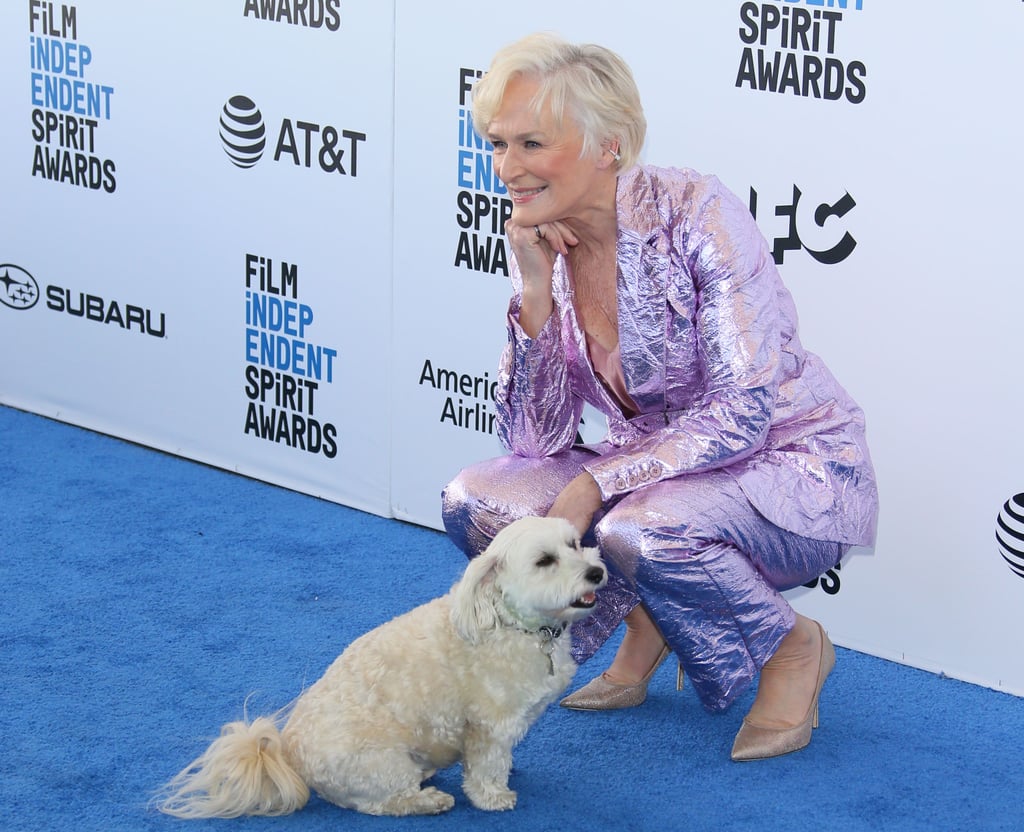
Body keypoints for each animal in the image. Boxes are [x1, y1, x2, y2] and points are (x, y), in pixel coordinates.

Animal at [157, 516, 606, 815]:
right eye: (544, 561)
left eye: (574, 543)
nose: (597, 571)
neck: (514, 624)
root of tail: (288, 755)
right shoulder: (488, 726)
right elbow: (487, 767)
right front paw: (494, 796)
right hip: (383, 764)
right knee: (385, 803)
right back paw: (429, 799)